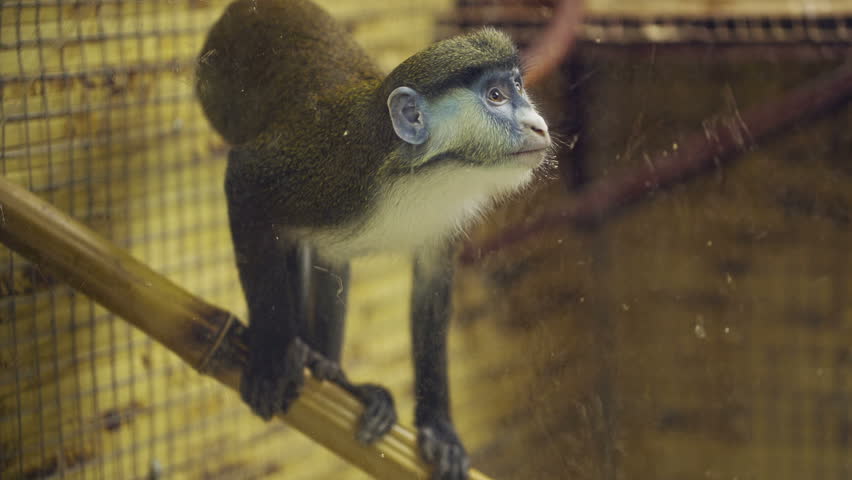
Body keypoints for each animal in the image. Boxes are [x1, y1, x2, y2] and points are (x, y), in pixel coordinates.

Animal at [195, 1, 552, 478]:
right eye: (495, 96)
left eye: (518, 87)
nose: (539, 126)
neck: (421, 170)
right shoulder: (330, 174)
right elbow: (244, 177)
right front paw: (271, 361)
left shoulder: (443, 220)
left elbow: (430, 290)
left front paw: (439, 428)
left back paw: (327, 368)